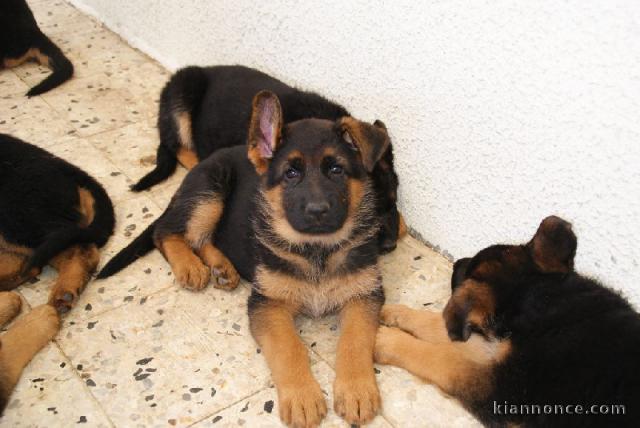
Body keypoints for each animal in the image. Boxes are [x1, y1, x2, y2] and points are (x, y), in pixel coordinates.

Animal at [99, 92, 390, 426]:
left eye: (337, 170)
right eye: (291, 173)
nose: (317, 211)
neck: (316, 250)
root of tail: (207, 159)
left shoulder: (364, 295)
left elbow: (355, 340)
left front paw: (356, 390)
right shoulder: (267, 304)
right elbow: (289, 348)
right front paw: (302, 397)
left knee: (203, 238)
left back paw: (222, 267)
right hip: (211, 193)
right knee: (167, 232)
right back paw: (190, 266)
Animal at [376, 217, 640, 428]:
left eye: (468, 272)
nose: (456, 262)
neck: (539, 299)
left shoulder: (500, 387)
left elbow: (440, 358)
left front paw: (386, 340)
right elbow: (434, 325)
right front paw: (394, 313)